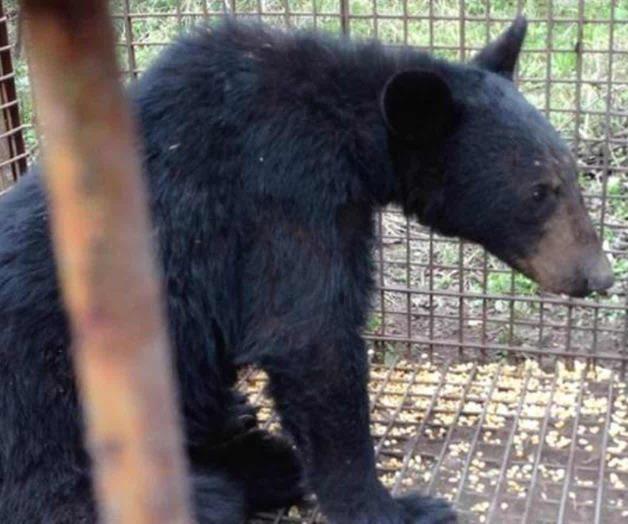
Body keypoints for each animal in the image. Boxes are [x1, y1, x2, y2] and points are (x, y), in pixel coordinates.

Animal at [0, 14, 612, 524]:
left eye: (573, 175)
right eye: (540, 191)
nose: (600, 276)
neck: (347, 128)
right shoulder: (285, 191)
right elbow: (310, 340)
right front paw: (396, 507)